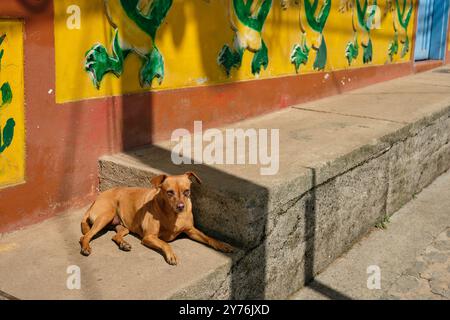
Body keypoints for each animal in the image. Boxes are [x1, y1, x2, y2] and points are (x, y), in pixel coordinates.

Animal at [79, 172, 232, 264]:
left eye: (187, 191)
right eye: (169, 192)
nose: (181, 206)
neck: (173, 215)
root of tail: (96, 199)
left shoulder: (191, 230)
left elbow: (209, 238)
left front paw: (222, 245)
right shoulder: (149, 237)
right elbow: (166, 243)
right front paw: (171, 255)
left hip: (123, 227)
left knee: (115, 236)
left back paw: (123, 244)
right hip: (105, 216)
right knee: (85, 236)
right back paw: (86, 247)